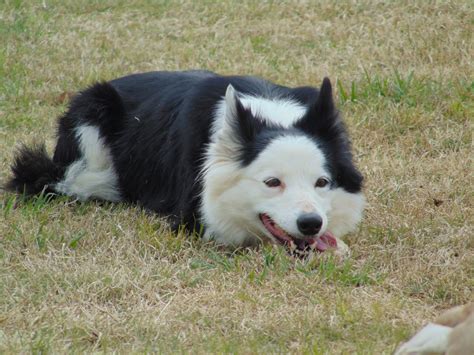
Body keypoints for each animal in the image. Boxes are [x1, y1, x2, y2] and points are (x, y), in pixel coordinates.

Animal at [5, 71, 364, 258]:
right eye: (272, 182)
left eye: (322, 183)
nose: (311, 224)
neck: (271, 114)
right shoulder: (194, 217)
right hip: (92, 114)